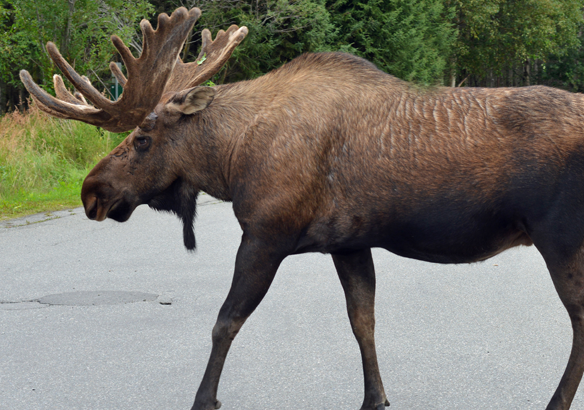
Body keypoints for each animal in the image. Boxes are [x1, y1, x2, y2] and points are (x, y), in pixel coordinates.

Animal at [19, 5, 584, 410]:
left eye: (142, 138)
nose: (91, 191)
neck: (230, 159)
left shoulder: (265, 234)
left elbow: (225, 321)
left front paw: (205, 399)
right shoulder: (349, 243)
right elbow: (363, 322)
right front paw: (375, 399)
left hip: (560, 240)